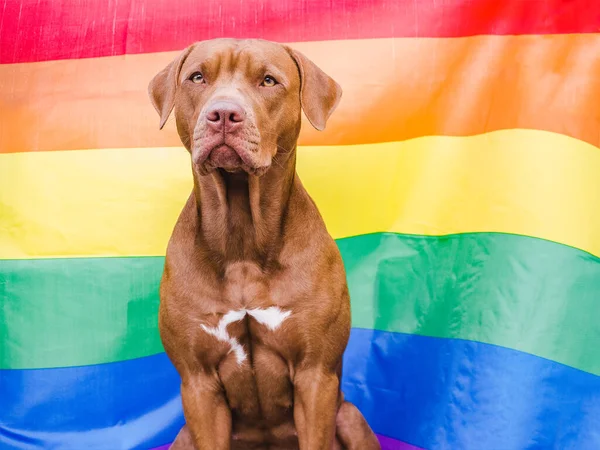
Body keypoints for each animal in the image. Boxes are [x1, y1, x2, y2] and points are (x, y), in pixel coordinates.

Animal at [149, 39, 380, 450]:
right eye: (197, 77)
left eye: (268, 81)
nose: (223, 114)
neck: (242, 238)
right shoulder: (198, 382)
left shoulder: (315, 375)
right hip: (183, 436)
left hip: (350, 416)